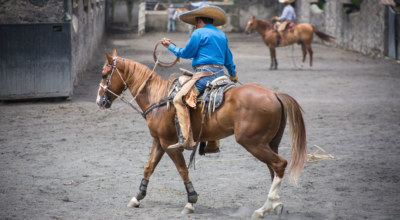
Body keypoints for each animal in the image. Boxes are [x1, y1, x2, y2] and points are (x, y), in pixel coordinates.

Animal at [95, 48, 308, 218]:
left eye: (105, 74)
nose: (99, 101)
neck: (159, 98)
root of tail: (275, 94)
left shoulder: (170, 144)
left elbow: (182, 169)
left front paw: (191, 201)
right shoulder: (159, 141)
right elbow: (149, 167)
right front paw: (137, 197)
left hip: (253, 143)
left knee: (279, 164)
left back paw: (263, 209)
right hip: (270, 143)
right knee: (273, 168)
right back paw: (275, 204)